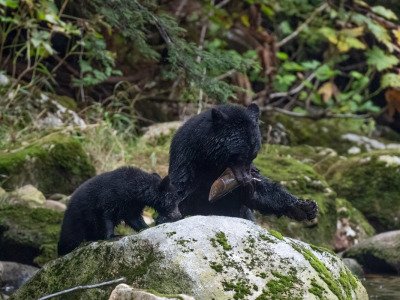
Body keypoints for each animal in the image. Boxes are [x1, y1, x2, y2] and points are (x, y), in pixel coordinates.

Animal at [169, 104, 318, 221]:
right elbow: (182, 191)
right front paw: (174, 211)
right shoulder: (188, 161)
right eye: (238, 157)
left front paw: (304, 207)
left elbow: (262, 192)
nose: (246, 178)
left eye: (253, 155)